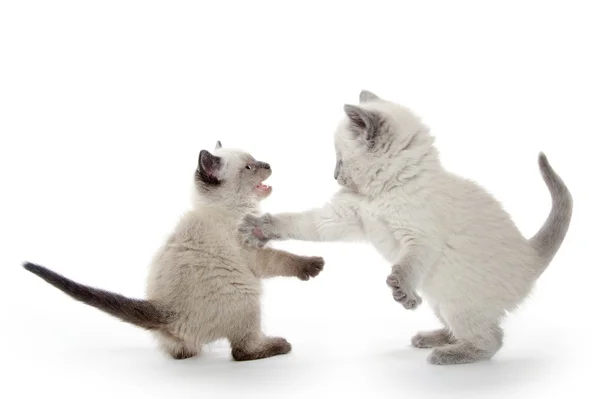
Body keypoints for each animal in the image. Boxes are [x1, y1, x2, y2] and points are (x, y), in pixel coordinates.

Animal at [23, 141, 324, 362]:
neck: (234, 209)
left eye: (257, 160)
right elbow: (285, 259)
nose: (268, 165)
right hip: (247, 297)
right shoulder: (257, 256)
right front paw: (314, 265)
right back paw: (278, 345)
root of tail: (165, 311)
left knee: (182, 352)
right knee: (241, 351)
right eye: (250, 166)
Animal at [239, 92, 572, 368]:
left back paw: (450, 354)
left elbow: (406, 266)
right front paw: (258, 228)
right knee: (471, 331)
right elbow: (299, 222)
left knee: (492, 340)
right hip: (440, 300)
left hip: (458, 303)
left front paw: (402, 292)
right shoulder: (340, 219)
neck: (382, 193)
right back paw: (433, 339)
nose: (334, 176)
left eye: (339, 159)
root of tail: (531, 257)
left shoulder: (420, 240)